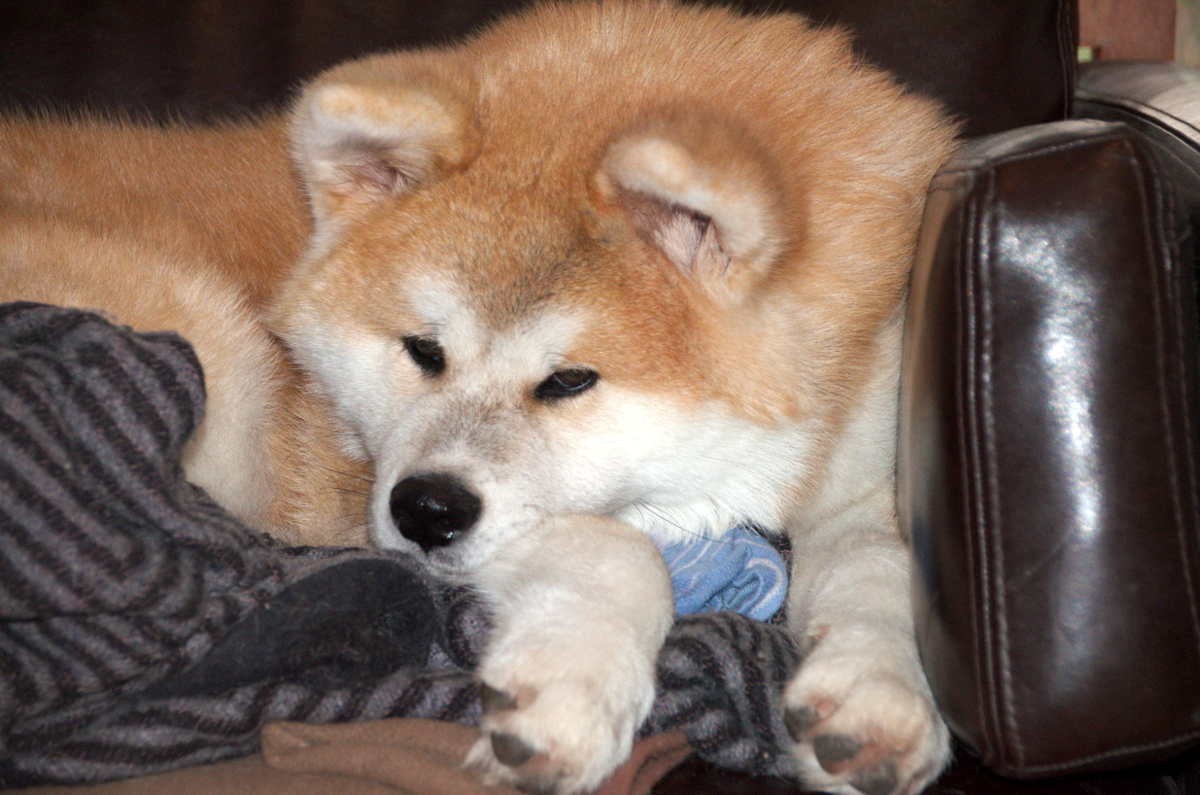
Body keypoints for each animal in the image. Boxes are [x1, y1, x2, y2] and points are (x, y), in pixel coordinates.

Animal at [0, 2, 959, 793]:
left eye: (569, 379)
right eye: (423, 350)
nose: (425, 509)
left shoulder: (861, 461)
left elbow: (882, 563)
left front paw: (875, 693)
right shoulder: (354, 497)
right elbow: (618, 546)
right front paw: (570, 687)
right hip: (207, 329)